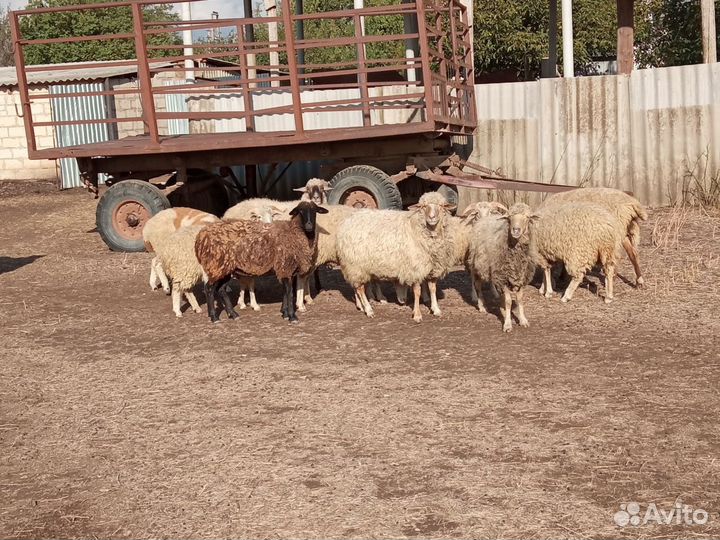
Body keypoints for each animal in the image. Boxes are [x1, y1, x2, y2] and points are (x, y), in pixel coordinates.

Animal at [195, 201, 328, 323]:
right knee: (209, 289)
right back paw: (214, 317)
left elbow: (285, 292)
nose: (309, 225)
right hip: (216, 265)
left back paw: (232, 314)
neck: (294, 234)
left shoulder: (284, 269)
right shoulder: (285, 267)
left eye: (315, 211)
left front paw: (284, 313)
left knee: (220, 289)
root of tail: (201, 237)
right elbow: (289, 293)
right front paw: (291, 316)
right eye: (300, 211)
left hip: (224, 269)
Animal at [335, 192, 456, 322]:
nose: (432, 217)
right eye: (423, 207)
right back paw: (368, 310)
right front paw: (417, 314)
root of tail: (348, 221)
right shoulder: (415, 268)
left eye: (441, 206)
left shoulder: (433, 267)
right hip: (355, 264)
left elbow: (433, 289)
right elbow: (417, 292)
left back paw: (361, 306)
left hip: (357, 265)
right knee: (360, 288)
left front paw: (436, 309)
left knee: (356, 286)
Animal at [467, 202, 539, 332]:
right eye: (510, 217)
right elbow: (508, 301)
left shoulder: (521, 277)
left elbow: (520, 300)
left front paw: (523, 320)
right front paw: (507, 324)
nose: (516, 230)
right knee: (478, 286)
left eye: (527, 217)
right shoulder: (503, 277)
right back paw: (482, 306)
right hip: (477, 266)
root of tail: (483, 219)